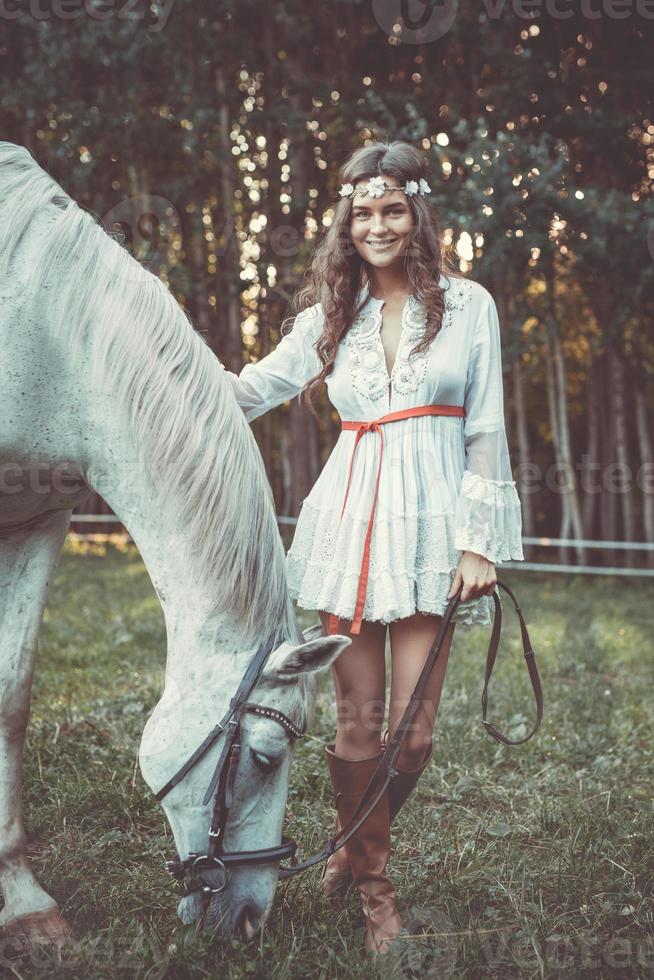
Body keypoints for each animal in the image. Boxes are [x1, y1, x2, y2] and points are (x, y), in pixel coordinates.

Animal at [0, 147, 354, 948]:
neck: (44, 331)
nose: (249, 919)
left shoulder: (37, 518)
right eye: (265, 757)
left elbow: (11, 695)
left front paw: (21, 900)